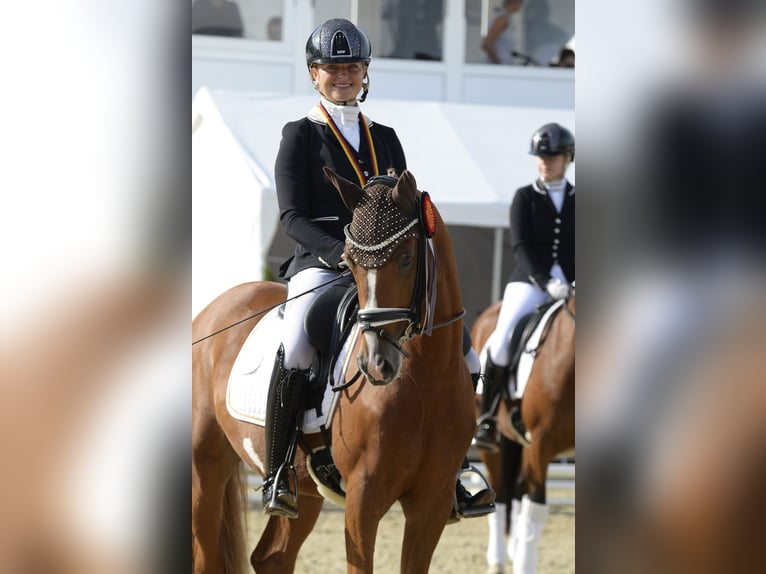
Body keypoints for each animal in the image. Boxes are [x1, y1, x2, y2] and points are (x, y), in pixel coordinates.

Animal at [192, 169, 480, 572]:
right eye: (351, 261)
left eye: (407, 258)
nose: (375, 364)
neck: (427, 380)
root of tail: (212, 309)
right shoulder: (363, 499)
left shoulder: (432, 504)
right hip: (205, 468)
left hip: (306, 490)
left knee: (271, 557)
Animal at [474, 294, 576, 574]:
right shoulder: (541, 443)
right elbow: (535, 512)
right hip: (495, 442)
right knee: (499, 495)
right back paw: (497, 560)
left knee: (518, 491)